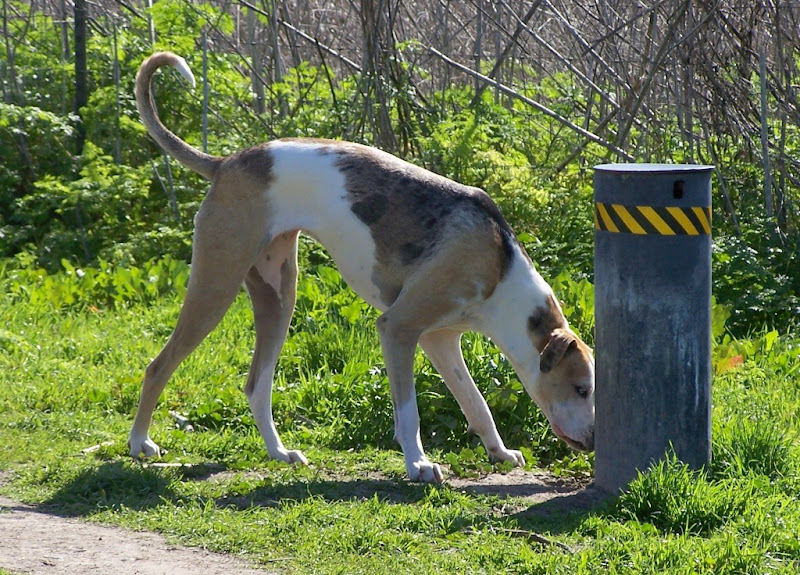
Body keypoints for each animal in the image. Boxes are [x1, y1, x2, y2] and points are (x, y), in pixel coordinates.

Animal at [130, 51, 592, 484]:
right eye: (581, 388)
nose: (592, 441)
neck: (500, 267)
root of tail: (227, 163)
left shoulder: (440, 340)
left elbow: (477, 405)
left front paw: (498, 452)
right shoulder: (399, 330)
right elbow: (409, 412)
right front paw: (418, 464)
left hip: (279, 299)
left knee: (256, 385)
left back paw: (278, 453)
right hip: (215, 290)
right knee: (157, 367)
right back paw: (139, 444)